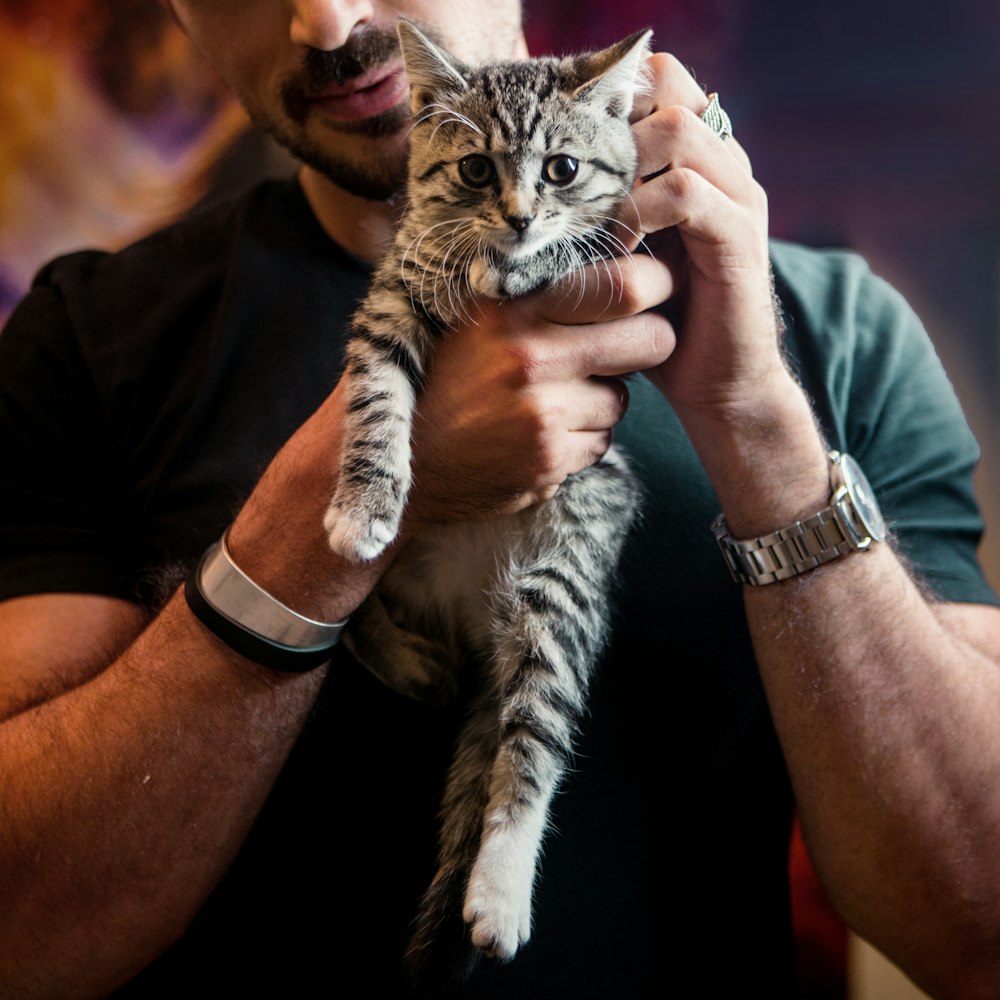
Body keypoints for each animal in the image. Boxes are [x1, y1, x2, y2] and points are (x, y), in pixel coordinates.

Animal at [326, 21, 648, 976]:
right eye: (474, 170)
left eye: (562, 169)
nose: (518, 216)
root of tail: (479, 627)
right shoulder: (390, 299)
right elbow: (376, 397)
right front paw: (364, 501)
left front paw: (531, 258)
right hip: (414, 575)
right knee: (386, 640)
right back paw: (414, 663)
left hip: (561, 582)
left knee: (531, 741)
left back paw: (499, 892)